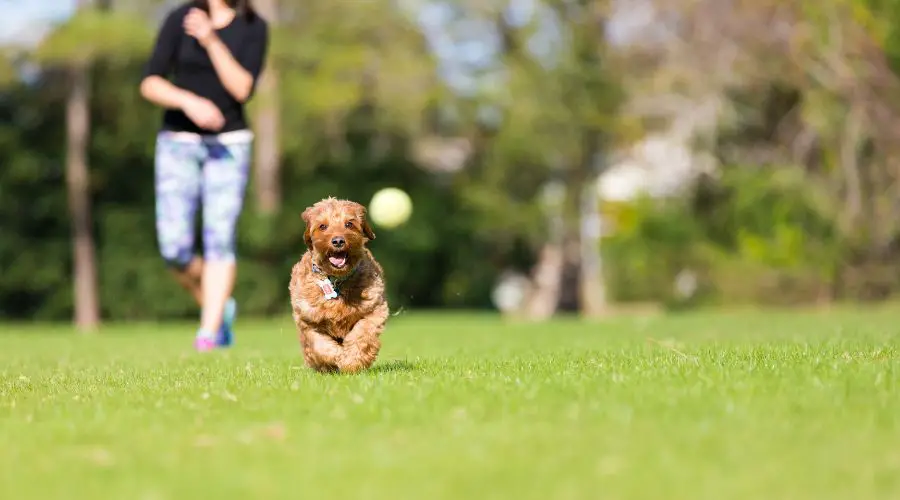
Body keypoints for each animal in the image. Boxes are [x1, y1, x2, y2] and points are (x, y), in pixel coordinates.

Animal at [288, 197, 386, 374]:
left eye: (349, 224)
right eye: (322, 226)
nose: (338, 240)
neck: (335, 280)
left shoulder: (375, 309)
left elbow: (362, 335)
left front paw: (352, 361)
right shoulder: (307, 321)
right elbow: (320, 346)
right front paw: (338, 357)